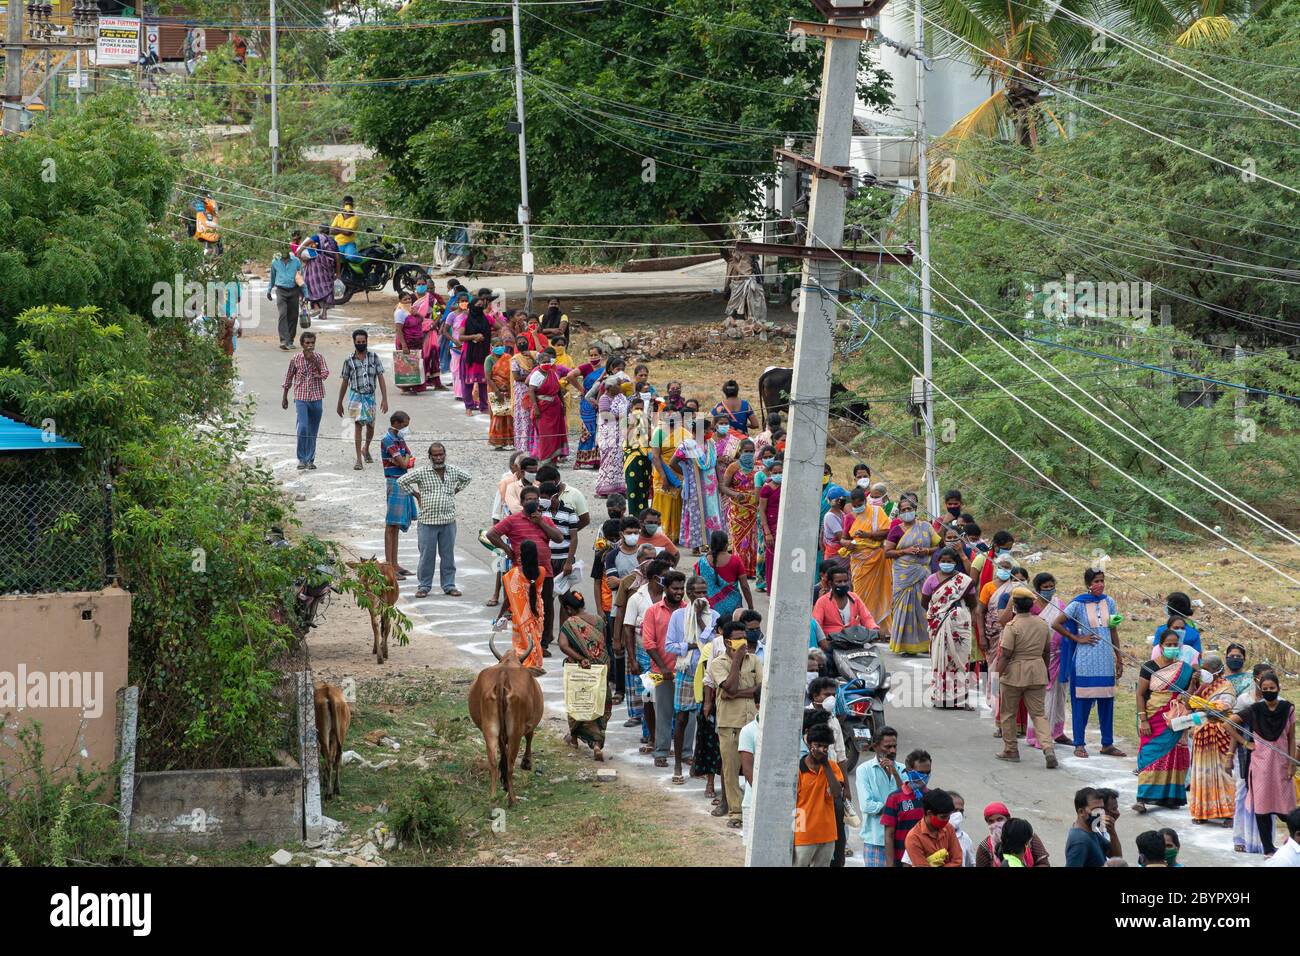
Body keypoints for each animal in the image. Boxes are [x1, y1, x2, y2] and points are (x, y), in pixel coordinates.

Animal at [467, 634, 543, 806]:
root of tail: (503, 676)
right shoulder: (528, 724)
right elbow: (530, 736)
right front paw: (527, 762)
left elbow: (502, 752)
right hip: (515, 731)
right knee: (509, 764)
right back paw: (512, 798)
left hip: (490, 730)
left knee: (493, 762)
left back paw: (493, 795)